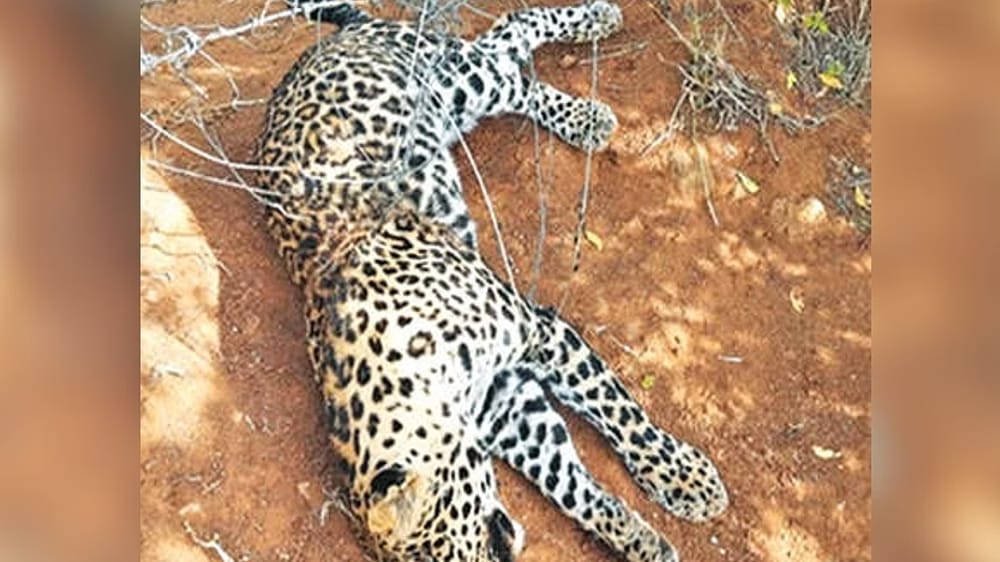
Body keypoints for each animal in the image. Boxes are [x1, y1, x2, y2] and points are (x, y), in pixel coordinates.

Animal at [256, 2, 729, 561]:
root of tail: (337, 37)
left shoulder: (536, 330)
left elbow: (616, 408)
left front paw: (681, 476)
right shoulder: (502, 405)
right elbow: (568, 483)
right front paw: (640, 540)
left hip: (457, 76)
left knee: (511, 41)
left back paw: (595, 40)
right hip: (454, 104)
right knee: (510, 60)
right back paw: (584, 109)